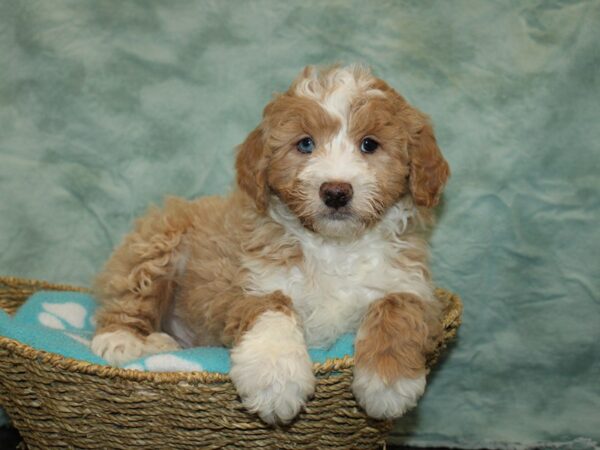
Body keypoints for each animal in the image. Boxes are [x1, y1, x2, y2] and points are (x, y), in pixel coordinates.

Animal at [91, 65, 450, 424]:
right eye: (305, 144)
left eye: (369, 144)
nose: (335, 192)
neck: (334, 245)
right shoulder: (248, 284)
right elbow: (272, 308)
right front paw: (276, 378)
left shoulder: (411, 285)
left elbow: (397, 306)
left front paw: (387, 382)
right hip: (158, 241)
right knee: (129, 300)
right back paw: (122, 340)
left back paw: (160, 345)